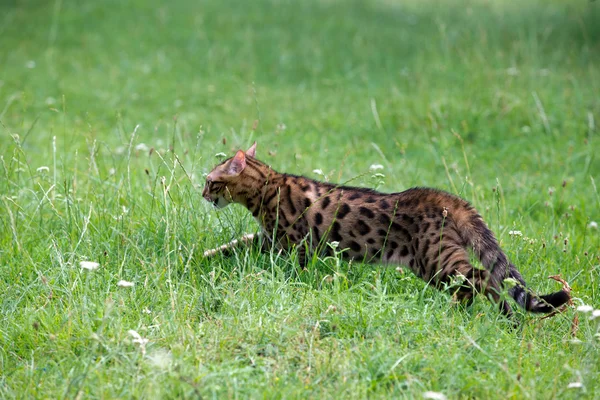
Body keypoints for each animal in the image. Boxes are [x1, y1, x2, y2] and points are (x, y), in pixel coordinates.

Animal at [200, 143, 568, 318]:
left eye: (210, 181)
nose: (201, 193)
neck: (268, 186)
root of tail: (443, 196)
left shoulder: (293, 245)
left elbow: (292, 270)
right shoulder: (268, 239)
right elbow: (237, 243)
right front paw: (207, 255)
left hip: (436, 260)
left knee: (483, 278)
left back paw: (489, 315)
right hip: (439, 262)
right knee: (484, 281)